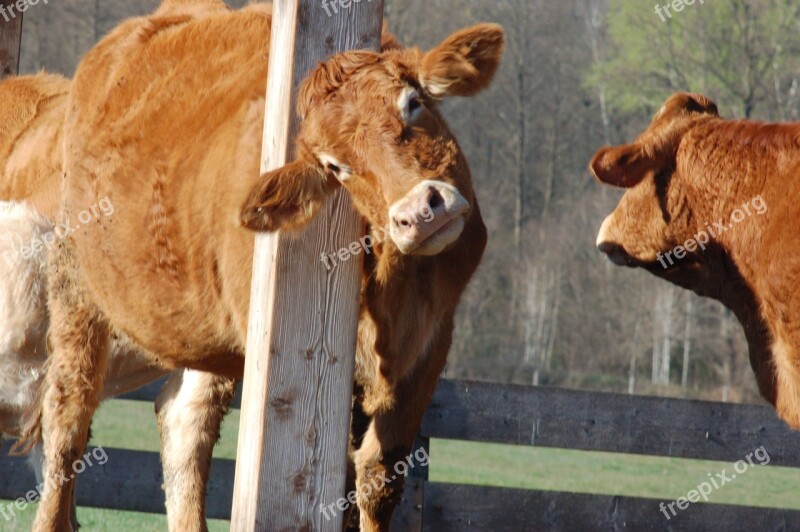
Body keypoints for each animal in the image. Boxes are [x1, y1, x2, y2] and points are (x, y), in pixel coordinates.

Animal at [32, 2, 506, 528]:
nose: (421, 212)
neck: (397, 291)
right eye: (336, 167)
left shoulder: (430, 344)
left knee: (184, 425)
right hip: (76, 290)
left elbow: (378, 474)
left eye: (413, 103)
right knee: (67, 418)